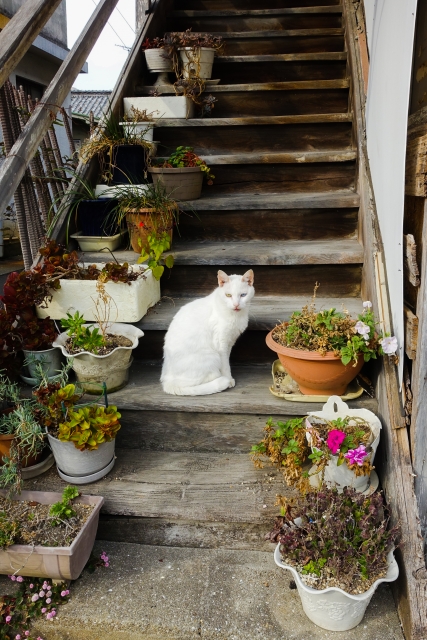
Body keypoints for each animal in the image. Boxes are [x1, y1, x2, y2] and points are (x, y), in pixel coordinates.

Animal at [160, 268, 254, 396]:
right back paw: (219, 379)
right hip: (212, 356)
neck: (236, 316)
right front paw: (229, 379)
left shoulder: (229, 343)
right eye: (228, 295)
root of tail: (167, 382)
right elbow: (225, 365)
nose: (236, 305)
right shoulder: (221, 345)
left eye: (243, 295)